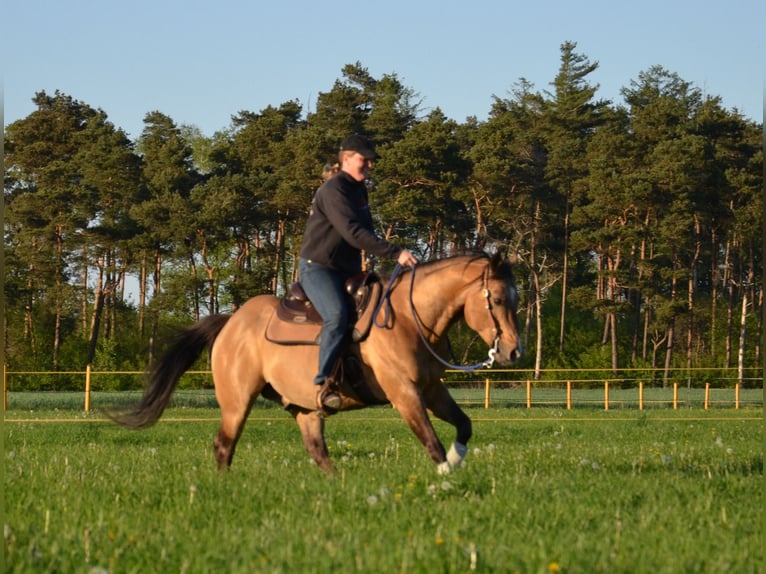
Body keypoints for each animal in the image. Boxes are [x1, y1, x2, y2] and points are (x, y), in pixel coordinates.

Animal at [113, 252, 522, 474]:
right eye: (500, 299)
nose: (513, 352)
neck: (408, 317)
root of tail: (231, 322)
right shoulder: (404, 393)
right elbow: (431, 441)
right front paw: (446, 476)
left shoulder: (431, 389)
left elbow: (464, 425)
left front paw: (456, 462)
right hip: (236, 402)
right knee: (223, 446)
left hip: (304, 407)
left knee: (317, 450)